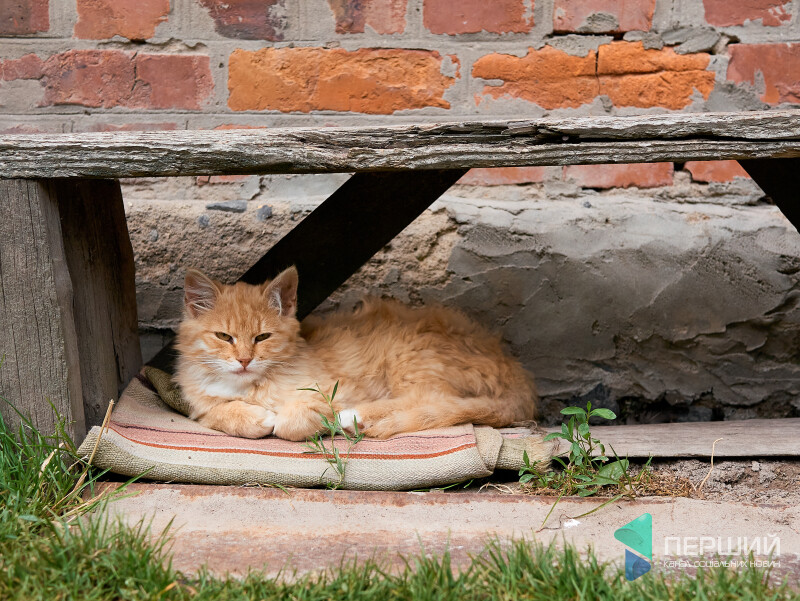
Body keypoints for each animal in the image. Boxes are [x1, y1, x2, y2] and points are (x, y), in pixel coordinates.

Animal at [174, 266, 537, 441]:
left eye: (263, 337)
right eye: (224, 337)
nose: (244, 360)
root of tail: (513, 368)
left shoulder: (334, 390)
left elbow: (293, 420)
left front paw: (288, 420)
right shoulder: (198, 406)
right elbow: (216, 413)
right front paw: (249, 417)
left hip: (410, 359)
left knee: (434, 400)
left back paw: (355, 418)